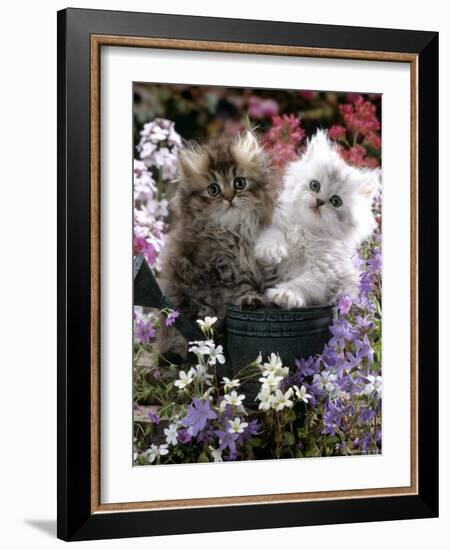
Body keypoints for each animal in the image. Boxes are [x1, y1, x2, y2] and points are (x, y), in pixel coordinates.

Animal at [158, 132, 278, 356]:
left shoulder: (265, 259)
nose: (229, 197)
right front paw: (252, 300)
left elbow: (272, 281)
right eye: (213, 190)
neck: (236, 231)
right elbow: (242, 288)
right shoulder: (224, 266)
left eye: (239, 183)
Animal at [255, 130, 378, 310]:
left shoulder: (323, 274)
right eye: (315, 185)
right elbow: (273, 235)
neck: (306, 230)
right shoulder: (279, 229)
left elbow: (301, 284)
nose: (319, 201)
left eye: (335, 201)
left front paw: (283, 295)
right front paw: (271, 251)